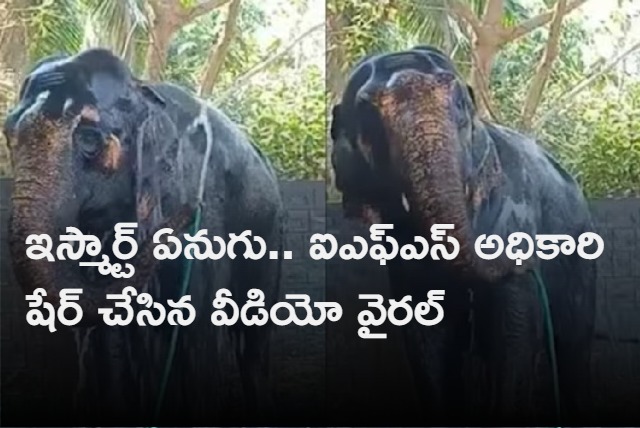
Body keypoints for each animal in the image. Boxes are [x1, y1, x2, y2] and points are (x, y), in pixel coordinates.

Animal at [4, 47, 284, 424]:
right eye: (9, 137)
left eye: (89, 139)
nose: (191, 208)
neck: (143, 91)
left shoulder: (204, 206)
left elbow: (197, 334)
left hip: (269, 229)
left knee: (252, 342)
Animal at [330, 45, 596, 424]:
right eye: (367, 113)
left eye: (459, 103)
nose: (525, 258)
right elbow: (428, 332)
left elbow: (514, 328)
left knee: (572, 346)